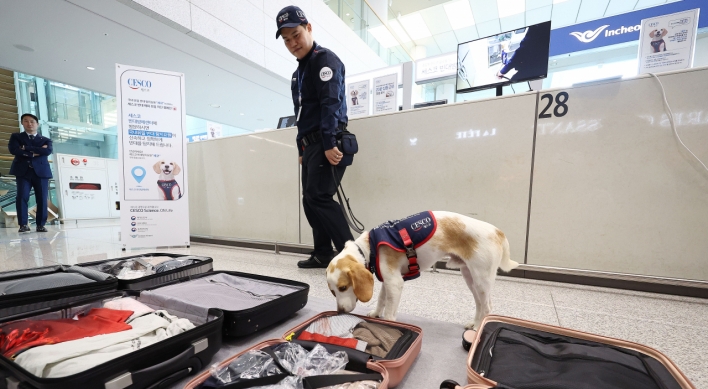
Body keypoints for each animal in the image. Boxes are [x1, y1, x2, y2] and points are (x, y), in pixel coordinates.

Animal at [328, 211, 520, 328]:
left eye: (343, 288)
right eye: (332, 292)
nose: (340, 312)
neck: (369, 247)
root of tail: (497, 231)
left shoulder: (395, 283)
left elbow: (389, 312)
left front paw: (389, 323)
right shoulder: (388, 281)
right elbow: (381, 300)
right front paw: (376, 313)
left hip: (481, 280)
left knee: (487, 307)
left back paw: (478, 329)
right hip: (470, 278)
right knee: (480, 304)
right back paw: (474, 324)